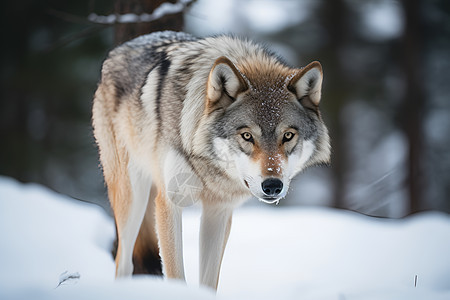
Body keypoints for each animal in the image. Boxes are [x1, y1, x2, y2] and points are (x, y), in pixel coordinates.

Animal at [92, 31, 330, 290]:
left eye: (287, 136)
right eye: (247, 136)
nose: (272, 186)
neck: (208, 166)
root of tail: (119, 49)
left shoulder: (218, 213)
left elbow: (208, 281)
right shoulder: (169, 202)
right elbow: (176, 274)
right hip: (132, 197)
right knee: (122, 262)